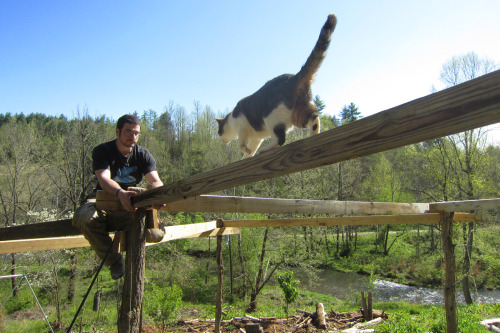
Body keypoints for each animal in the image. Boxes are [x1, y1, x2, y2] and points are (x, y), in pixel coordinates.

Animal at [217, 13, 338, 157]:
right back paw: (314, 134)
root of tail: (294, 78)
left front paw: (247, 150)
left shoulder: (242, 127)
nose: (220, 140)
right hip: (300, 113)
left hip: (273, 118)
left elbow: (242, 145)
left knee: (280, 139)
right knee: (314, 117)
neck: (231, 118)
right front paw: (248, 154)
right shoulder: (257, 138)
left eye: (219, 132)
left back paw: (265, 149)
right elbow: (250, 149)